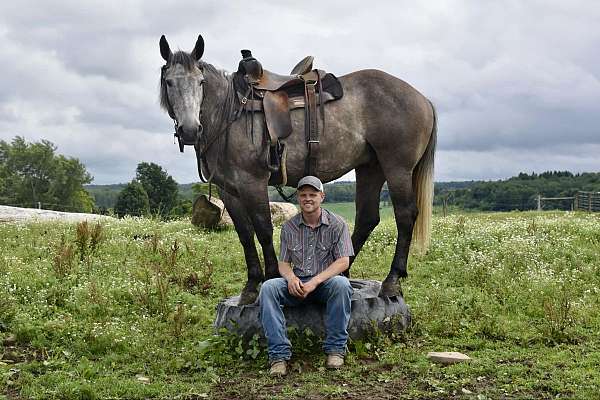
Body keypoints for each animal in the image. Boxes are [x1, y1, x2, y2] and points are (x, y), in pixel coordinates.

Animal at [158, 35, 436, 306]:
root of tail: (423, 98)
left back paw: (392, 281)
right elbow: (245, 234)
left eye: (201, 82)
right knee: (367, 218)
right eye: (169, 82)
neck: (229, 112)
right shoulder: (229, 191)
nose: (190, 130)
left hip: (396, 168)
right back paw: (344, 271)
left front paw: (270, 277)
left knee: (405, 215)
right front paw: (251, 285)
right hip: (371, 168)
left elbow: (264, 229)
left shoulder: (253, 183)